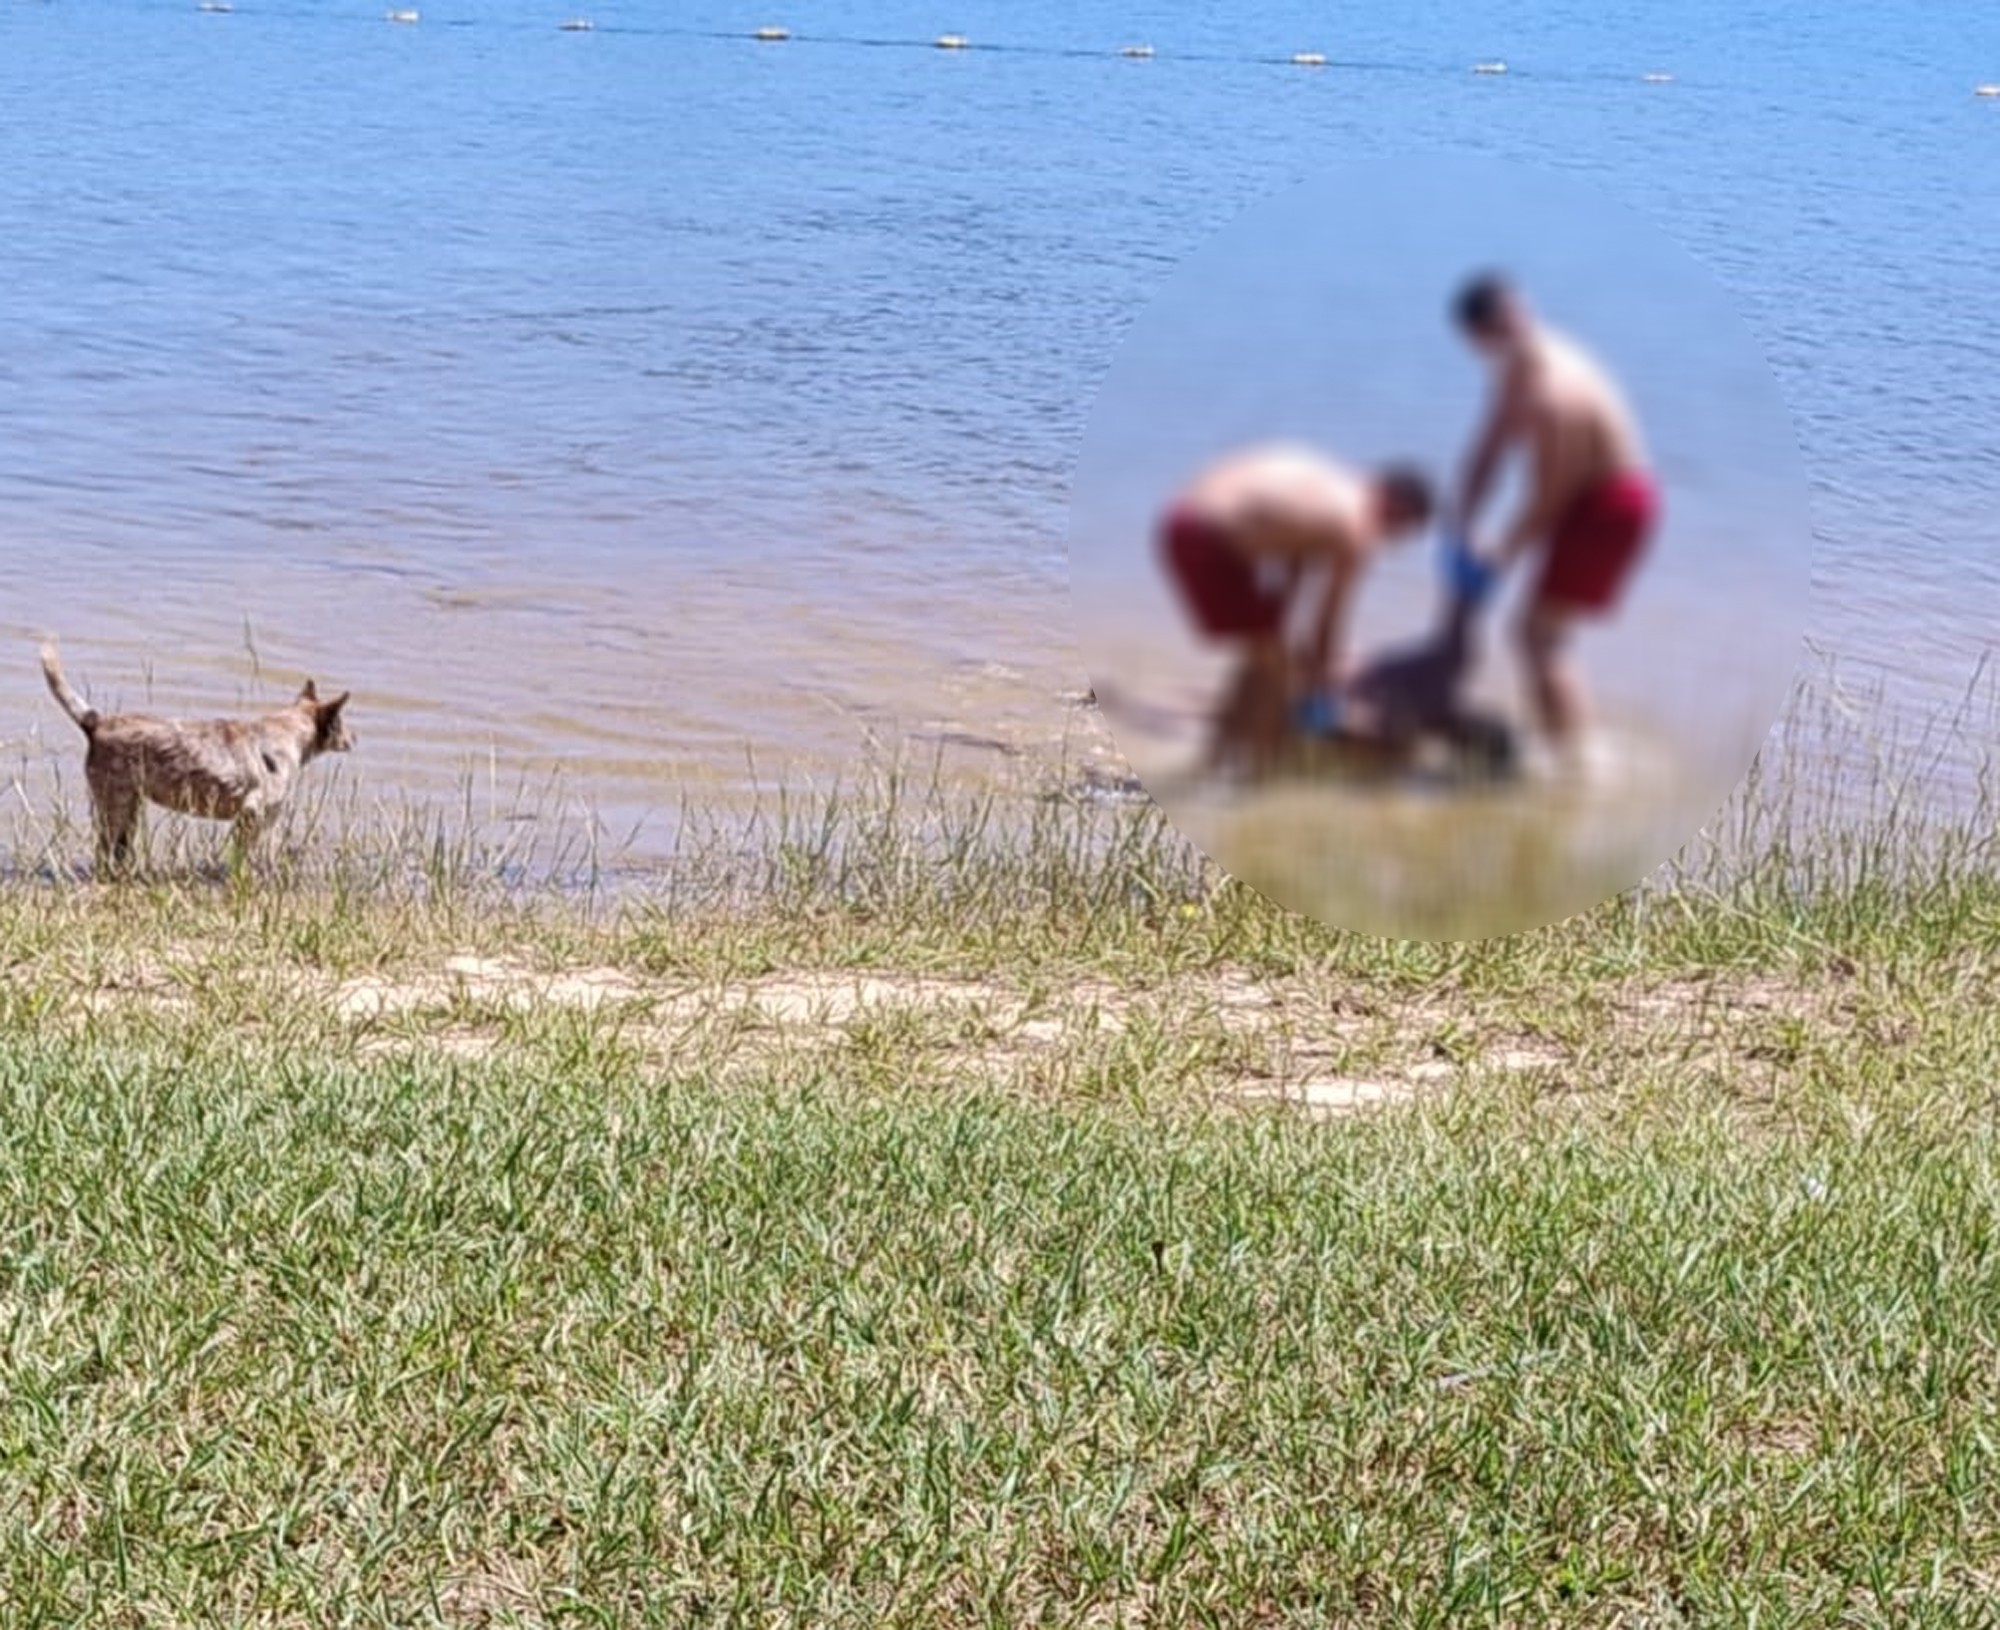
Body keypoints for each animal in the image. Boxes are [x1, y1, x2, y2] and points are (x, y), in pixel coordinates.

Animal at [39, 640, 354, 880]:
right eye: (341, 723)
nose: (355, 738)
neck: (288, 732)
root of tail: (95, 721)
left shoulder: (263, 819)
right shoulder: (253, 813)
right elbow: (245, 856)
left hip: (129, 807)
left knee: (118, 849)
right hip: (115, 803)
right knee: (104, 850)